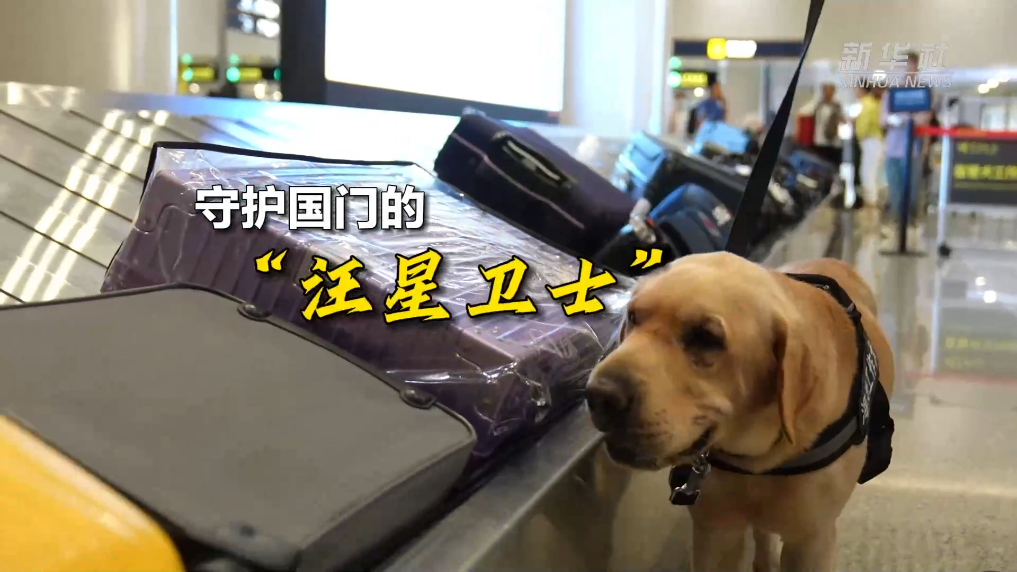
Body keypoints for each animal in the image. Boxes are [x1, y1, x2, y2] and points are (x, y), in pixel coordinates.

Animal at [586, 252, 894, 572]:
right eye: (633, 317)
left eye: (706, 338)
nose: (599, 395)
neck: (754, 460)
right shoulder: (714, 533)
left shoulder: (811, 543)